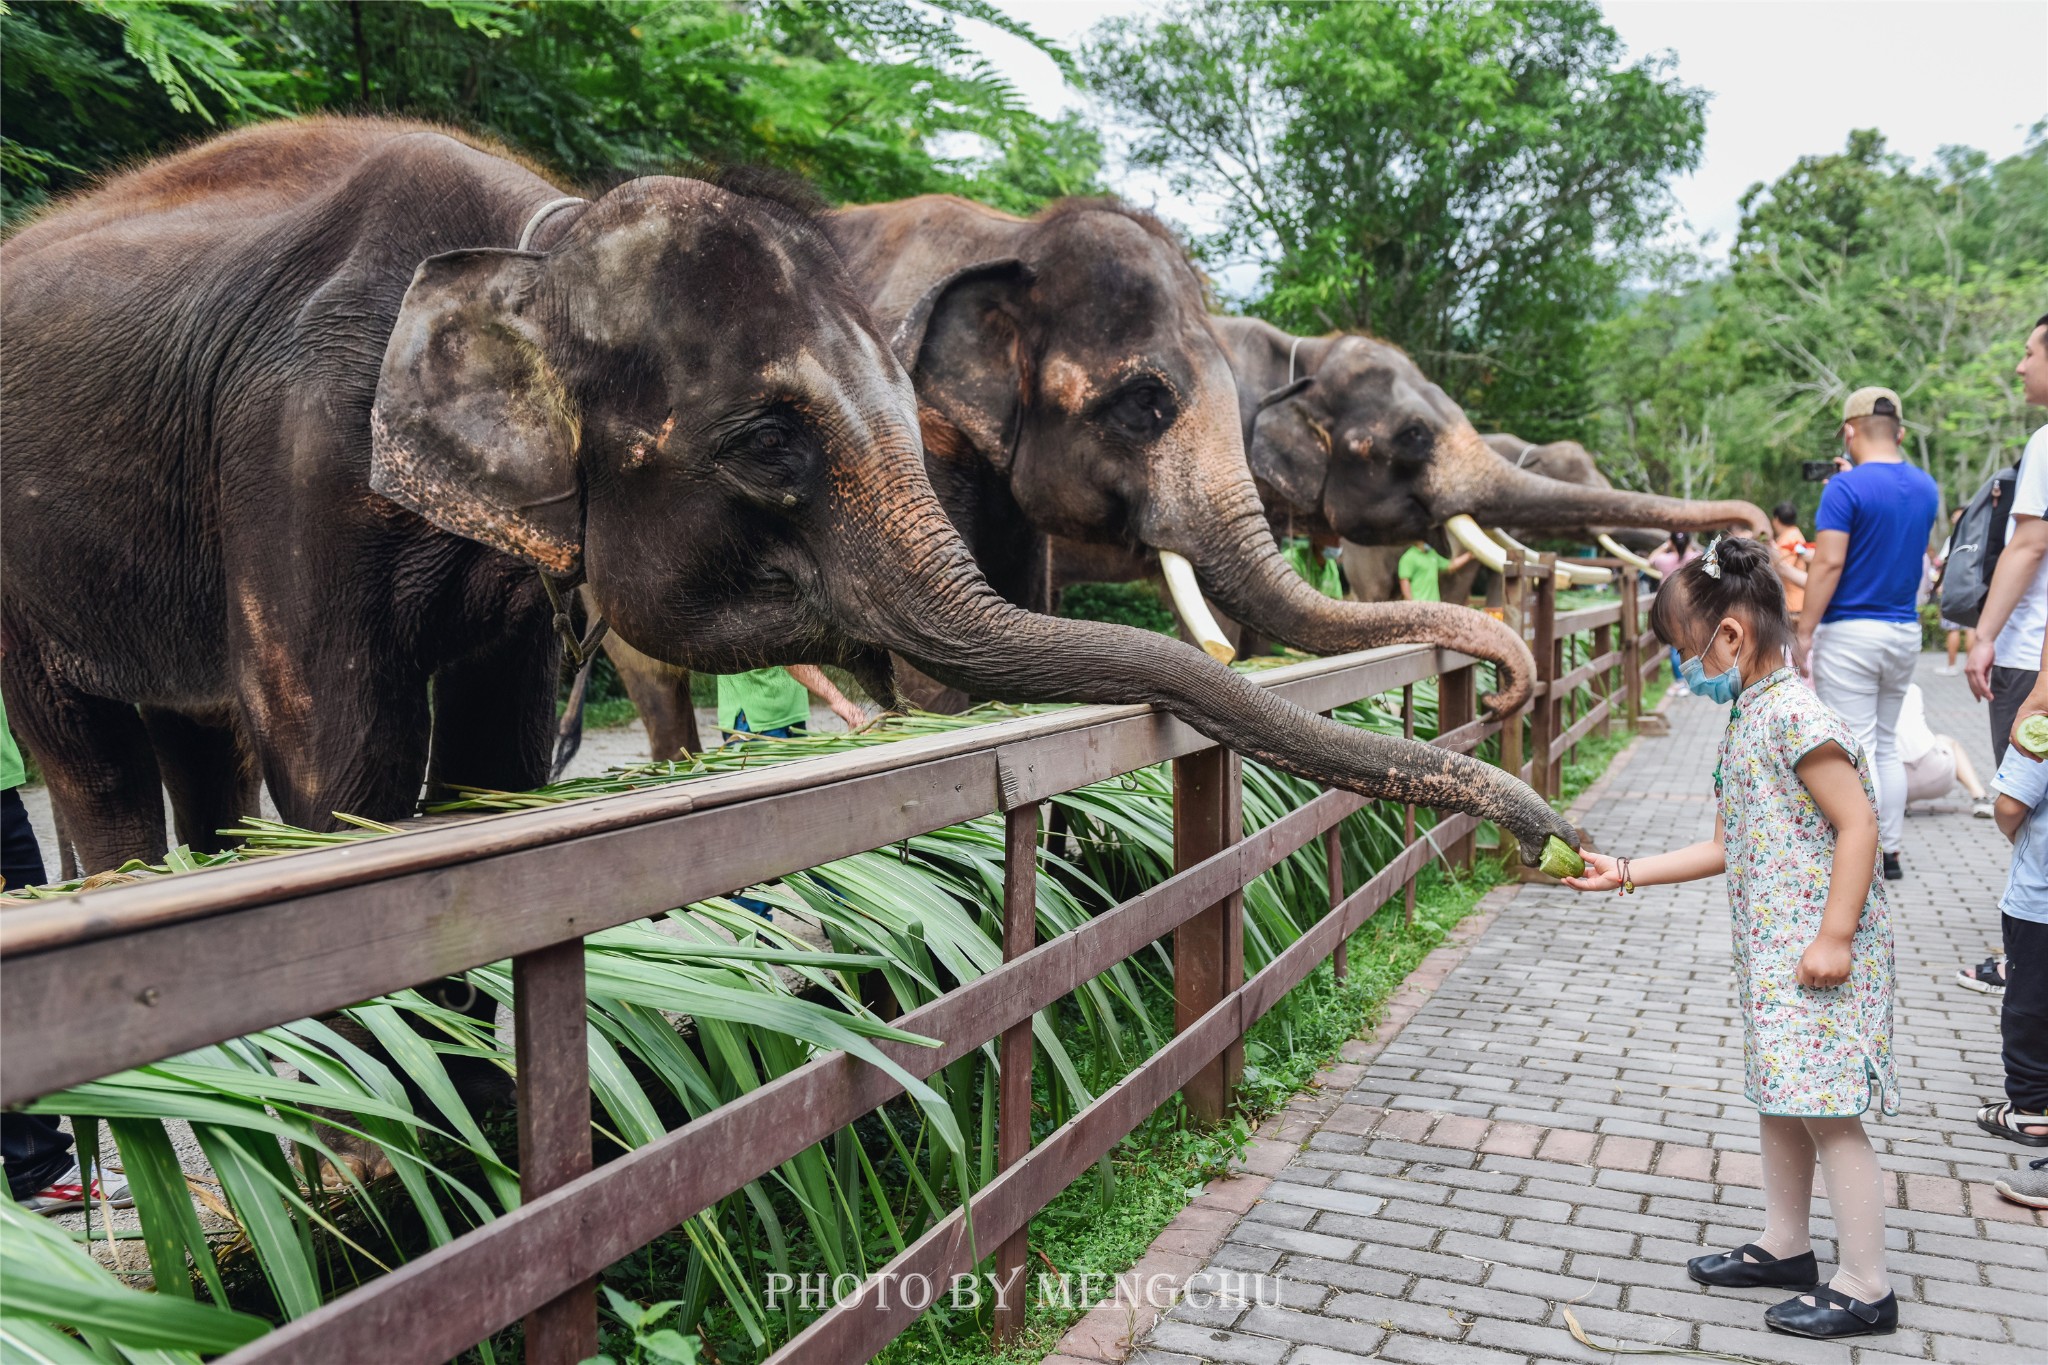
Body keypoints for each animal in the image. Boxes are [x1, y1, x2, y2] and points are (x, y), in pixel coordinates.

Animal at [0, 120, 1581, 875]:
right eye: (767, 444)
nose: (1550, 833)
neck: (537, 245)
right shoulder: (296, 454)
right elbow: (350, 774)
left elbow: (500, 767)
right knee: (94, 762)